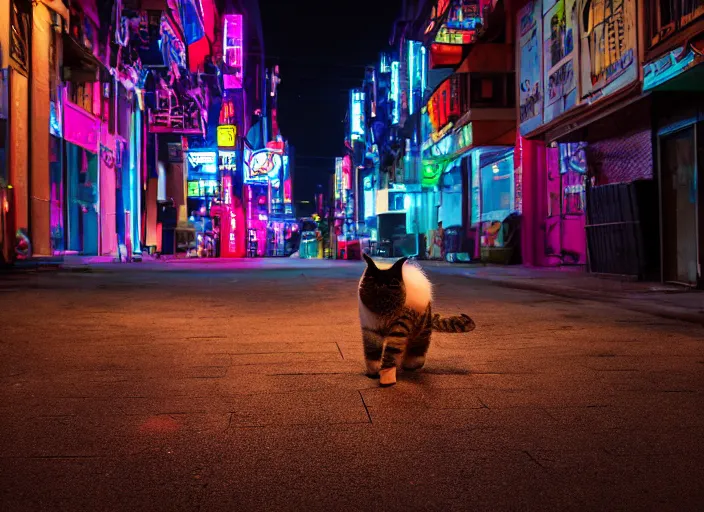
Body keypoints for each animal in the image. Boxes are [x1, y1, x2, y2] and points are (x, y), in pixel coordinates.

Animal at [358, 254, 472, 386]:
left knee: (418, 348)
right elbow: (372, 351)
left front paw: (387, 377)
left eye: (393, 283)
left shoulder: (399, 327)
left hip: (422, 331)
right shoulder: (370, 327)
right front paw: (374, 371)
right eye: (372, 280)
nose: (382, 286)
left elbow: (390, 353)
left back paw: (411, 363)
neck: (384, 311)